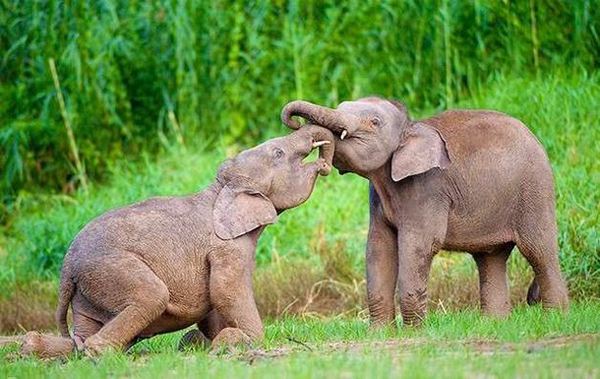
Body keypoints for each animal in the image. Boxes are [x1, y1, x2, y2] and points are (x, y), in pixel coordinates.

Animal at [11, 125, 336, 360]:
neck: (220, 190)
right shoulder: (227, 247)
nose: (324, 161)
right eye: (278, 153)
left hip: (87, 290)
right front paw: (245, 340)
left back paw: (35, 348)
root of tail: (66, 268)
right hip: (108, 268)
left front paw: (202, 341)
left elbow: (214, 304)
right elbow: (227, 292)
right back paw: (99, 353)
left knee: (83, 332)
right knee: (151, 296)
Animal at [282, 97, 568, 326]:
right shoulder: (376, 197)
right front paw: (380, 333)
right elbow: (379, 246)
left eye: (374, 122)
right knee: (491, 258)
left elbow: (419, 245)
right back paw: (494, 324)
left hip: (534, 190)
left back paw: (554, 318)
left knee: (538, 250)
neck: (411, 127)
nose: (297, 125)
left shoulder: (428, 188)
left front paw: (414, 331)